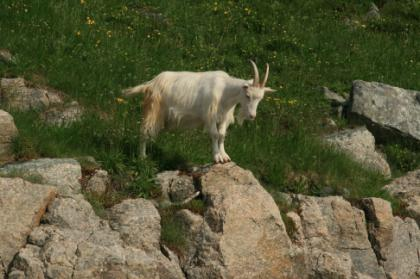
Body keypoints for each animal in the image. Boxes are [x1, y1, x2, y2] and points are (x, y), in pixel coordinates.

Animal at [121, 60, 276, 163]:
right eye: (248, 95)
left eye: (260, 98)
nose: (252, 116)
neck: (225, 90)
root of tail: (150, 84)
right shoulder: (210, 115)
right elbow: (214, 135)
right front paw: (217, 157)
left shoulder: (224, 117)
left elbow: (222, 135)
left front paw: (225, 156)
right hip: (153, 110)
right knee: (144, 131)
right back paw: (142, 157)